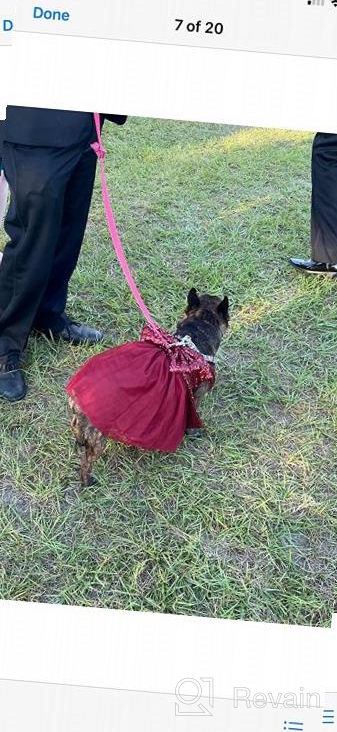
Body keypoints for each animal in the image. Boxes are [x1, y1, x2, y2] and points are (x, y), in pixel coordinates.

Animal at [69, 288, 228, 488]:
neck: (197, 330)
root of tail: (77, 398)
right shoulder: (197, 393)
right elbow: (194, 413)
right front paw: (193, 431)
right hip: (99, 438)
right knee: (87, 462)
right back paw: (88, 481)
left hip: (82, 425)